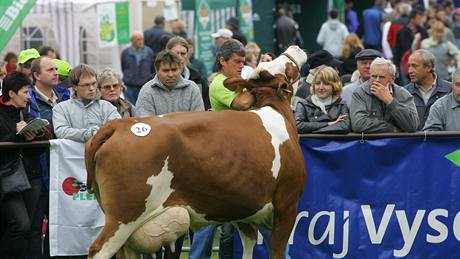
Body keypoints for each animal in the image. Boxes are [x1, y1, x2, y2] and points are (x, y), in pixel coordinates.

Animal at [85, 45, 310, 258]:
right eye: (288, 68)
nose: (295, 48)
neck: (277, 112)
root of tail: (120, 125)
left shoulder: (245, 212)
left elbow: (249, 246)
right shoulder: (287, 204)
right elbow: (277, 252)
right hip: (124, 216)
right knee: (98, 249)